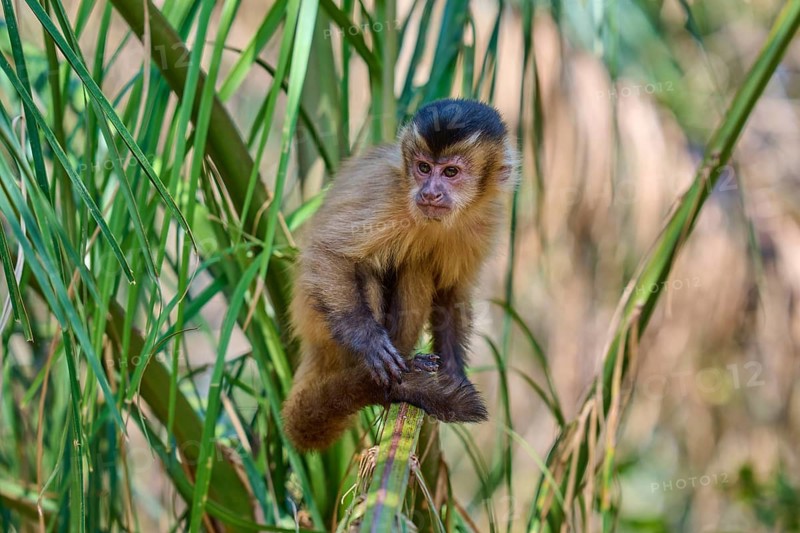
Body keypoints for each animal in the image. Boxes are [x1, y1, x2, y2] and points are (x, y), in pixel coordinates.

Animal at [282, 98, 518, 451]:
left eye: (450, 172)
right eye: (423, 168)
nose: (430, 192)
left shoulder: (485, 219)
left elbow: (453, 291)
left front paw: (454, 373)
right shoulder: (386, 196)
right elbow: (329, 253)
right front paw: (368, 340)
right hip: (321, 325)